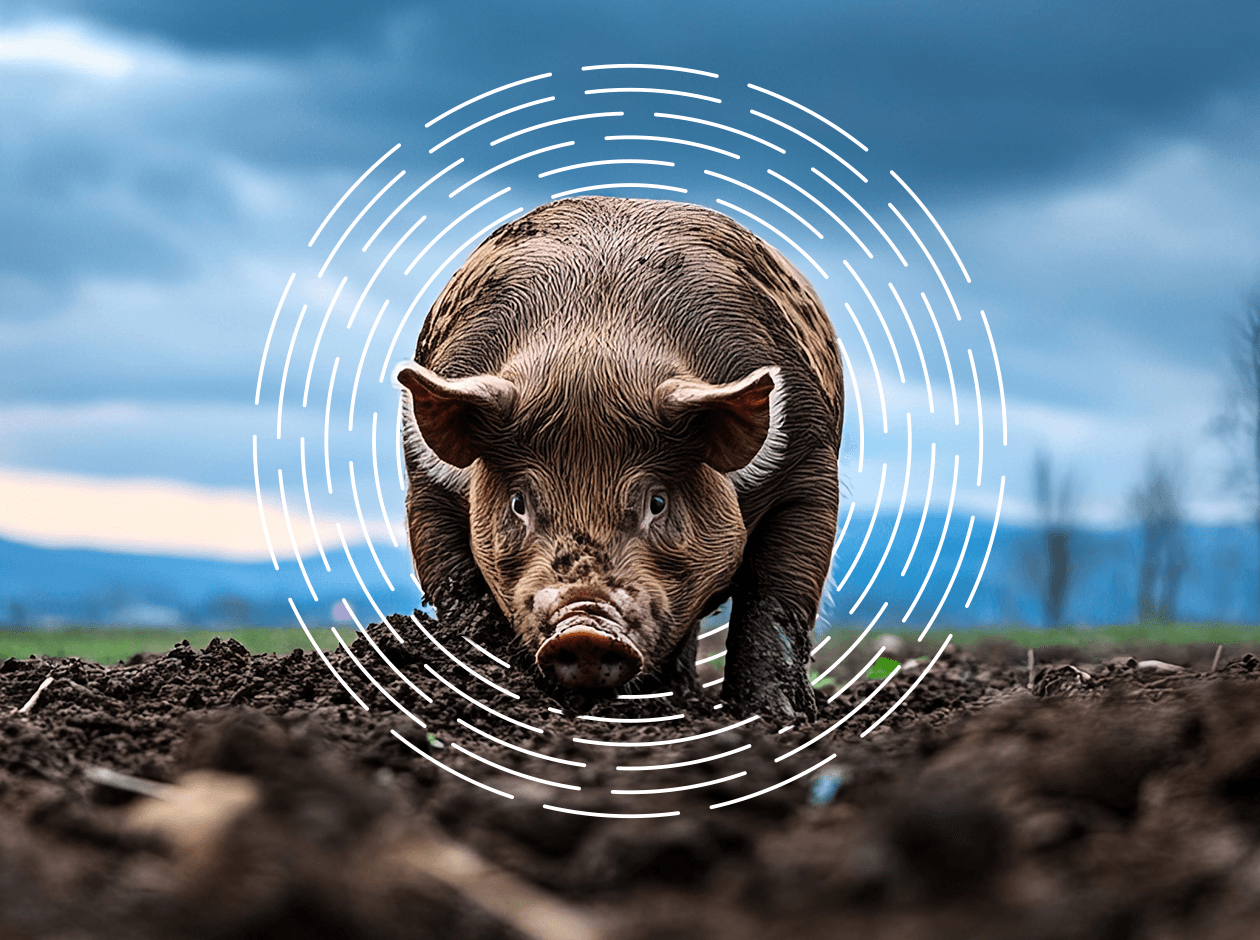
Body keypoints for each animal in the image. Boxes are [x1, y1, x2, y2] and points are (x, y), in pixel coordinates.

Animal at [393, 196, 843, 721]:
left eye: (657, 502)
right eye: (519, 503)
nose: (585, 629)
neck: (596, 354)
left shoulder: (809, 473)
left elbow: (776, 598)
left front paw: (774, 717)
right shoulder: (425, 487)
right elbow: (459, 589)